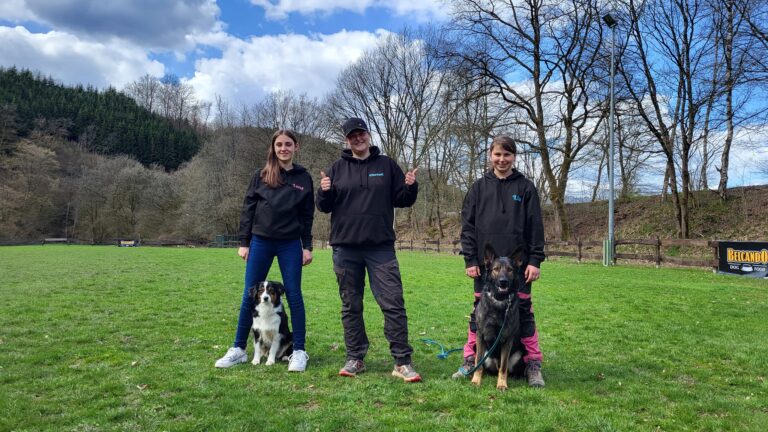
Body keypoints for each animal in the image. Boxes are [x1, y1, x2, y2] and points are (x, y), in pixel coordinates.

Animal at [472, 245, 524, 390]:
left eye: (510, 270)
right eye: (496, 269)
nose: (503, 282)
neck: (499, 300)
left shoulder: (507, 339)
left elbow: (504, 367)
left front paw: (502, 384)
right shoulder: (480, 335)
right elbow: (478, 362)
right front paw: (476, 380)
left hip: (519, 355)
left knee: (507, 368)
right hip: (480, 349)